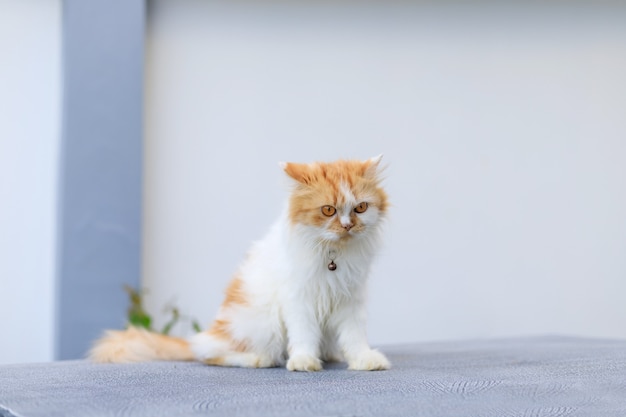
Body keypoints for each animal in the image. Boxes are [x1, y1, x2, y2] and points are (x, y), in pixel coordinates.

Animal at [89, 156, 388, 370]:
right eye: (328, 210)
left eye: (360, 208)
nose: (348, 226)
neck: (334, 256)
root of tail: (205, 335)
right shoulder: (298, 299)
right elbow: (303, 335)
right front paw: (304, 361)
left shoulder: (351, 299)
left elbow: (354, 337)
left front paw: (363, 360)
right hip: (265, 325)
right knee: (212, 356)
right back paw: (260, 360)